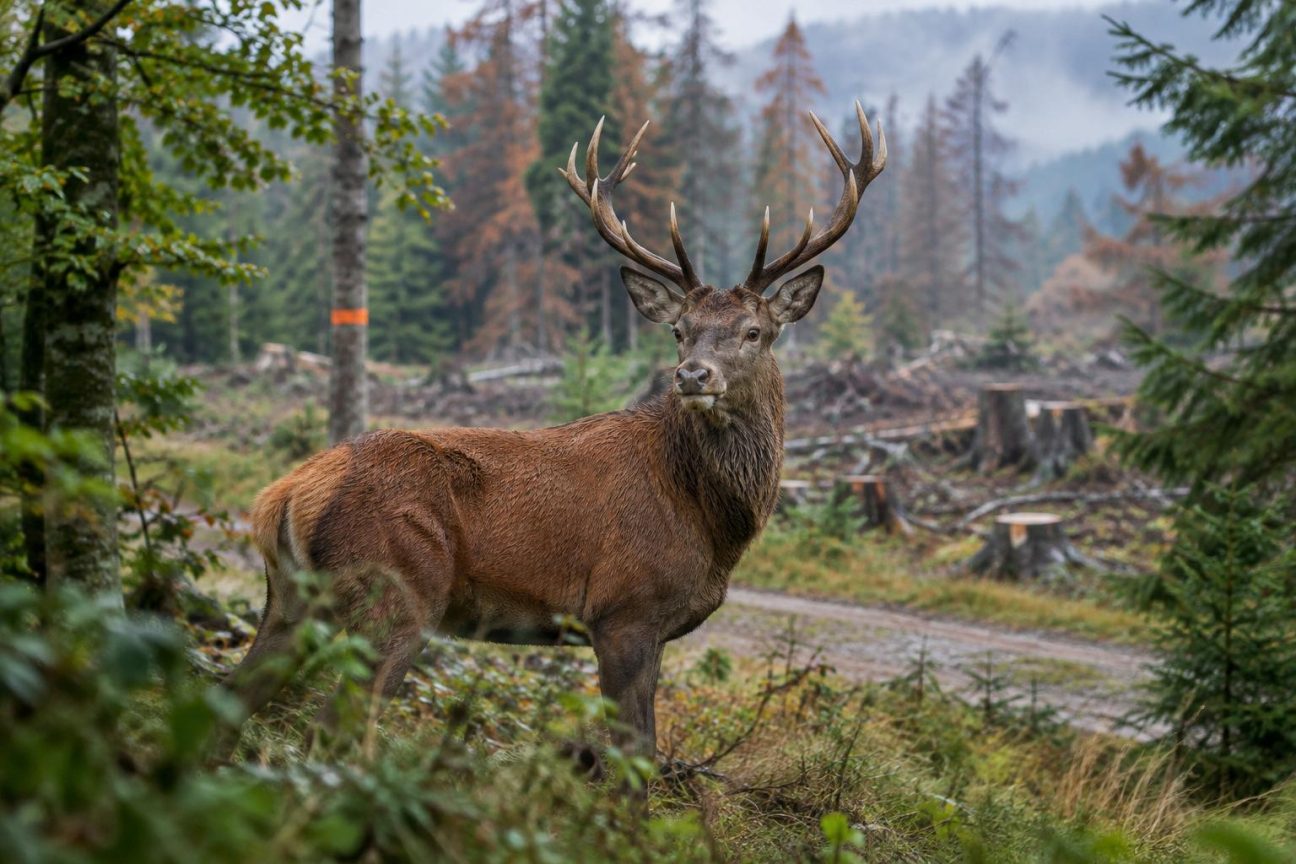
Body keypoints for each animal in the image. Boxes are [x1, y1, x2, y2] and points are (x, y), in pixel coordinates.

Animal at [223, 102, 886, 759]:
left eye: (754, 332)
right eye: (680, 330)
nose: (693, 375)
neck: (709, 520)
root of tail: (282, 495)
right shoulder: (623, 611)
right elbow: (633, 755)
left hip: (290, 602)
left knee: (229, 701)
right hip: (397, 595)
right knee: (332, 730)